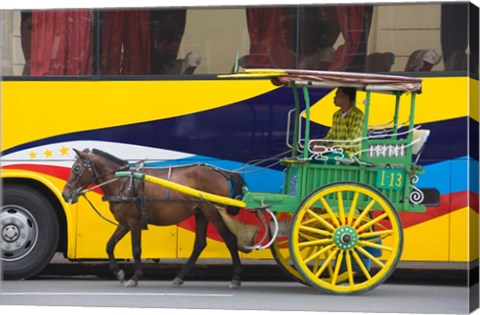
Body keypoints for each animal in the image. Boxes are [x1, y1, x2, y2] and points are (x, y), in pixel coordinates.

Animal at [61, 149, 246, 290]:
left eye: (76, 168)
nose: (65, 194)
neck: (123, 182)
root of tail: (220, 172)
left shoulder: (134, 222)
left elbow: (136, 249)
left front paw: (135, 277)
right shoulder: (124, 223)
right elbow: (109, 245)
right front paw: (118, 272)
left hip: (213, 212)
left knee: (230, 239)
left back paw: (236, 278)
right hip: (201, 213)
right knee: (200, 244)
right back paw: (180, 277)